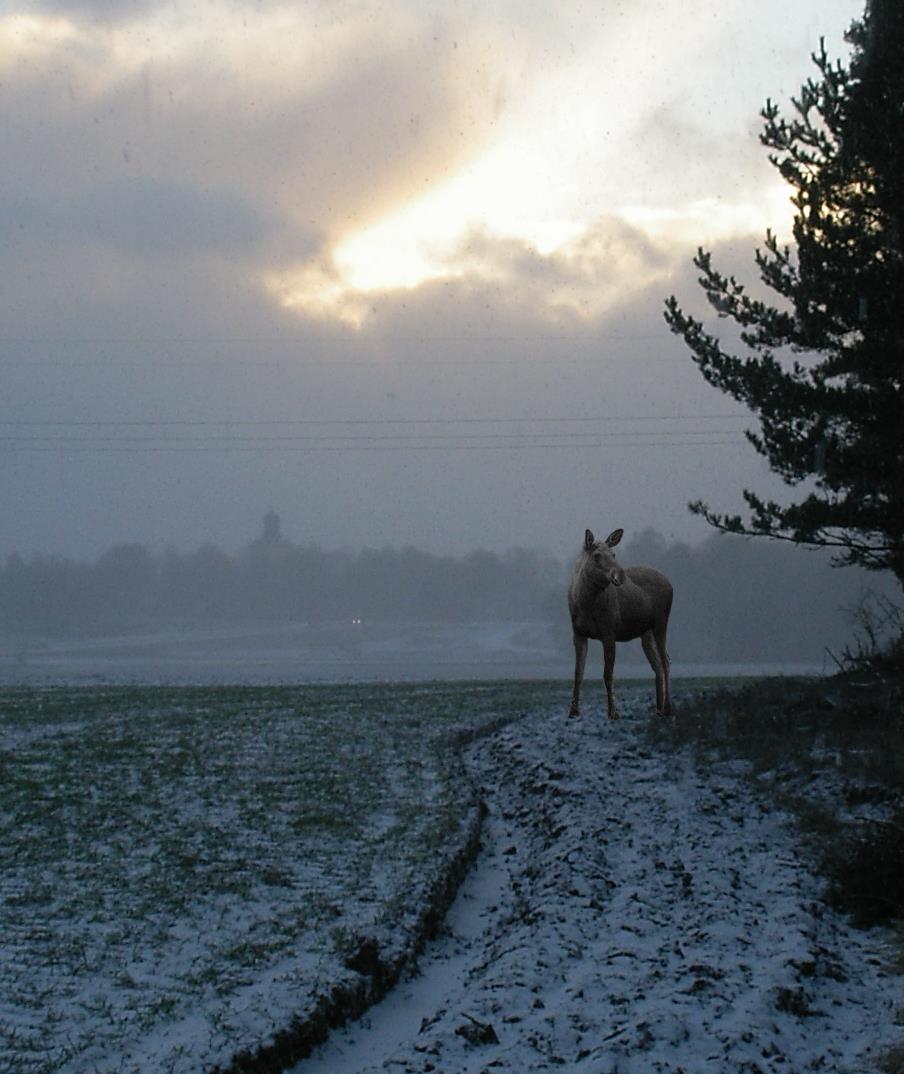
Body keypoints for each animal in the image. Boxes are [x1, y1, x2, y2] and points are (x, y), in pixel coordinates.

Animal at [566, 528, 674, 721]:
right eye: (596, 555)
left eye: (614, 554)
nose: (620, 575)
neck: (585, 604)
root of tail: (671, 584)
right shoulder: (578, 633)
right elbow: (578, 673)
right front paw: (573, 711)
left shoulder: (609, 631)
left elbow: (608, 674)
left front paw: (613, 712)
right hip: (646, 632)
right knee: (657, 665)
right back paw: (658, 708)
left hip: (661, 622)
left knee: (666, 660)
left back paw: (667, 708)